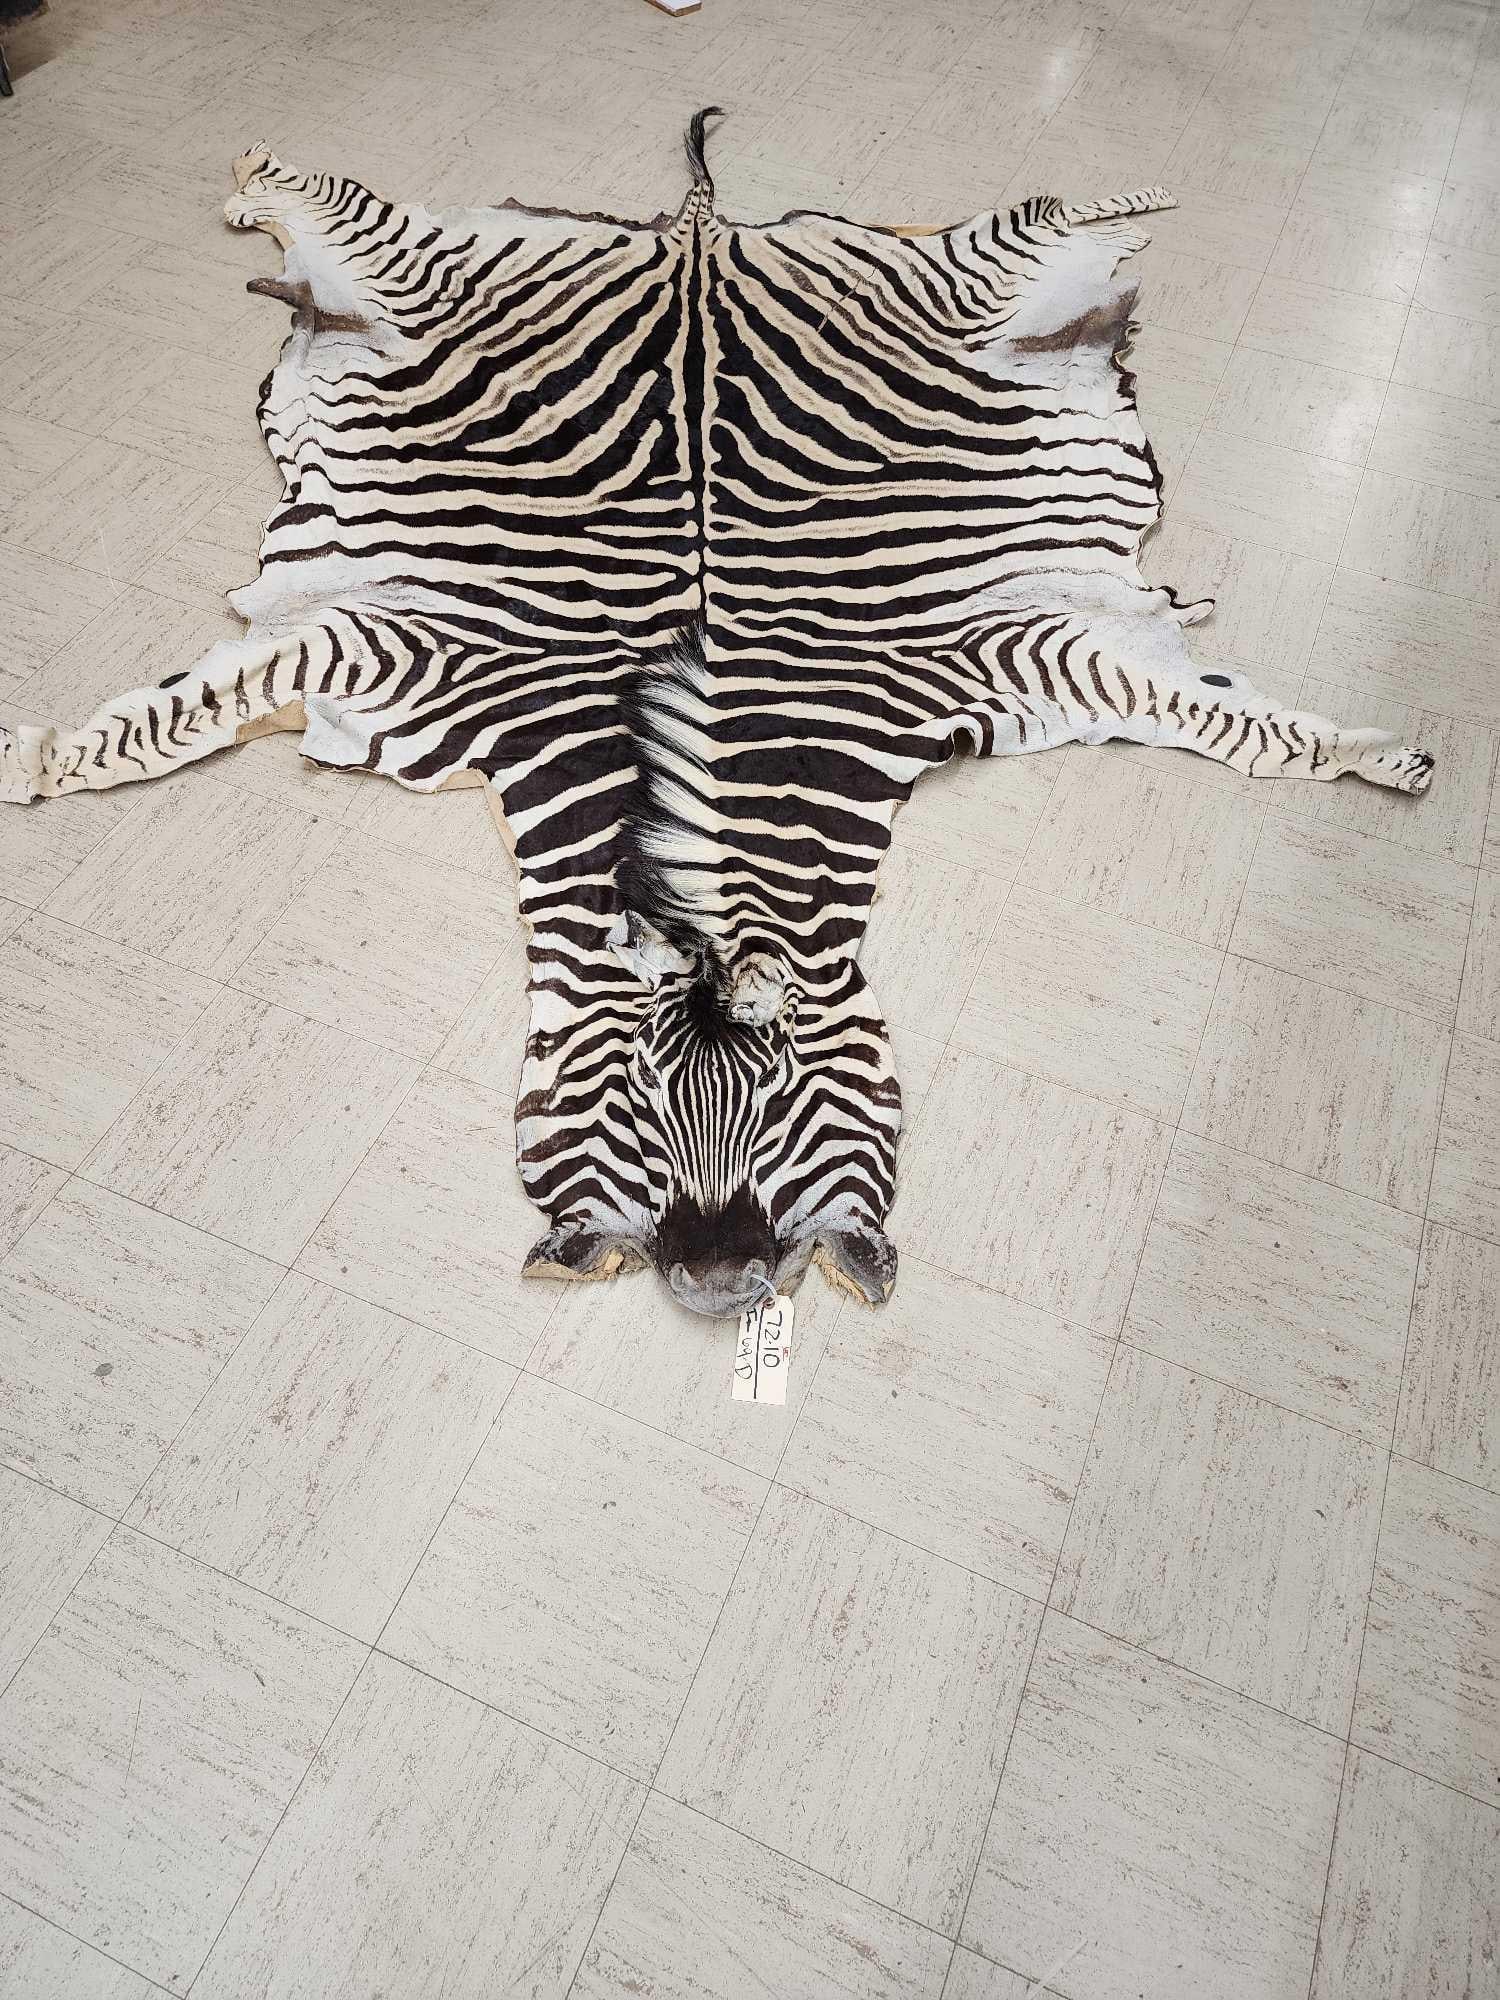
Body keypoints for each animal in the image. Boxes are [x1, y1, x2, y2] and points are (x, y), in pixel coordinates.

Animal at [0, 117, 1434, 1317]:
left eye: (792, 1101)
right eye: (631, 1111)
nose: (719, 1280)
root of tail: (698, 237)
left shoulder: (1005, 649)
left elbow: (1246, 725)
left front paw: (1380, 752)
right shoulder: (400, 645)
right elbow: (162, 720)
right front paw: (37, 753)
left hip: (956, 283)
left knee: (1035, 221)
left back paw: (1145, 202)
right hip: (417, 277)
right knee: (333, 204)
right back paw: (252, 185)